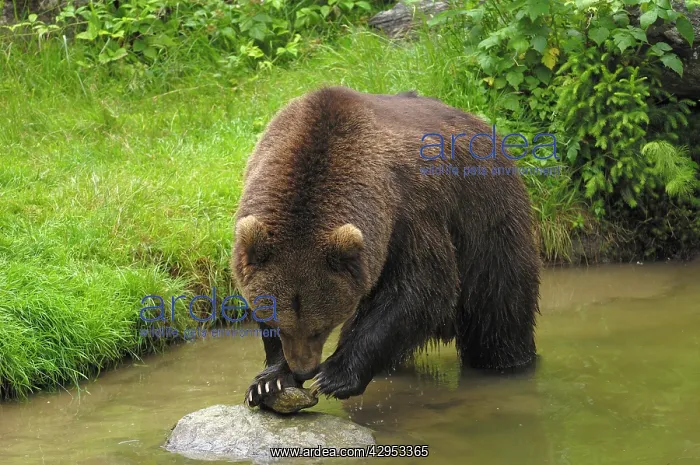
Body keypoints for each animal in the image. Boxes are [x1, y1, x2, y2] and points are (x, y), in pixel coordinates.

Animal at [231, 86, 541, 407]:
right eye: (280, 325)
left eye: (320, 329)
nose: (304, 369)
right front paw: (270, 380)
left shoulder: (409, 210)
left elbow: (422, 287)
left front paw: (335, 375)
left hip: (487, 223)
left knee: (497, 311)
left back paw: (509, 361)